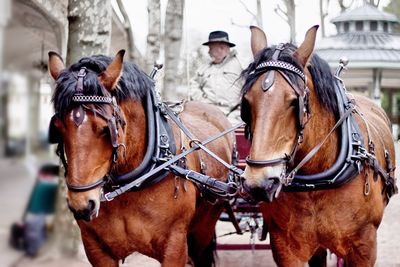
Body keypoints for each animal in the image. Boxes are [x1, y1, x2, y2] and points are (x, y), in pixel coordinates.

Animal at [47, 50, 234, 267]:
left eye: (105, 130)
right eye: (58, 129)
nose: (82, 205)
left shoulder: (175, 246)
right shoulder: (95, 248)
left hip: (202, 231)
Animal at [239, 24, 398, 266]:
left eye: (294, 102)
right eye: (246, 102)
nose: (259, 184)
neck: (316, 183)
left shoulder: (364, 248)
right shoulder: (285, 248)